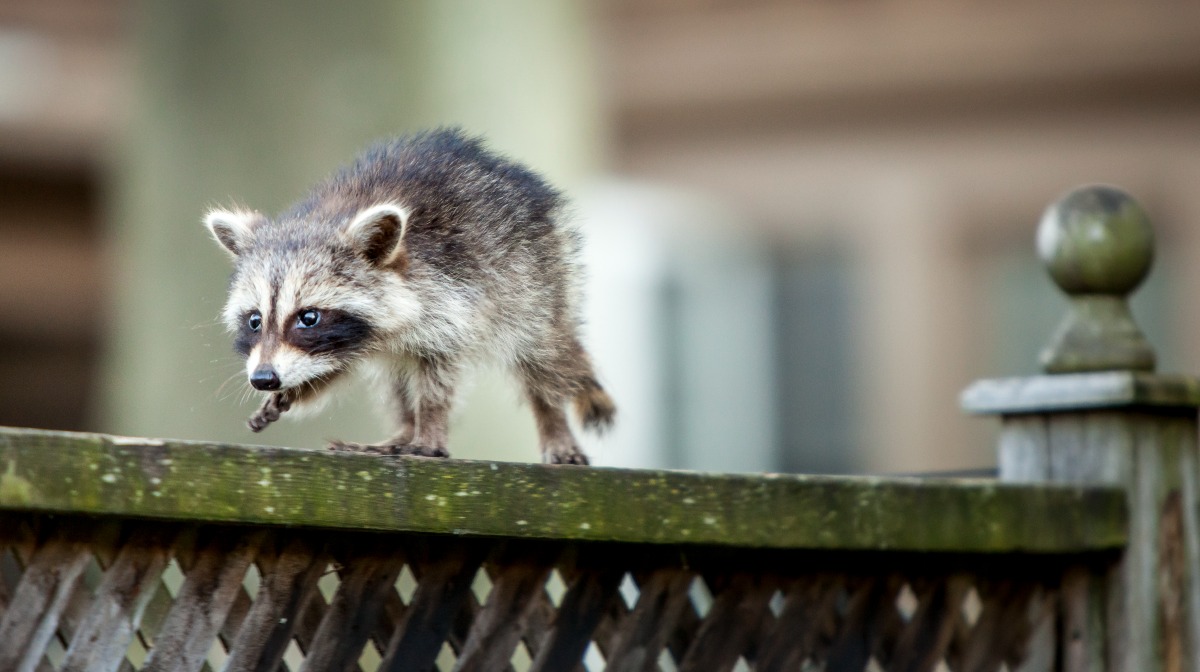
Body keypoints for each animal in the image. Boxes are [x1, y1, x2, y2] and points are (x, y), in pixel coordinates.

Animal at [202, 128, 614, 465]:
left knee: (544, 356)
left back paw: (552, 420)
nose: (264, 378)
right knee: (396, 379)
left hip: (537, 278)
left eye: (309, 317)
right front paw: (298, 389)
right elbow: (334, 367)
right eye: (255, 320)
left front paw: (429, 428)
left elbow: (438, 373)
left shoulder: (451, 298)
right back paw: (402, 429)